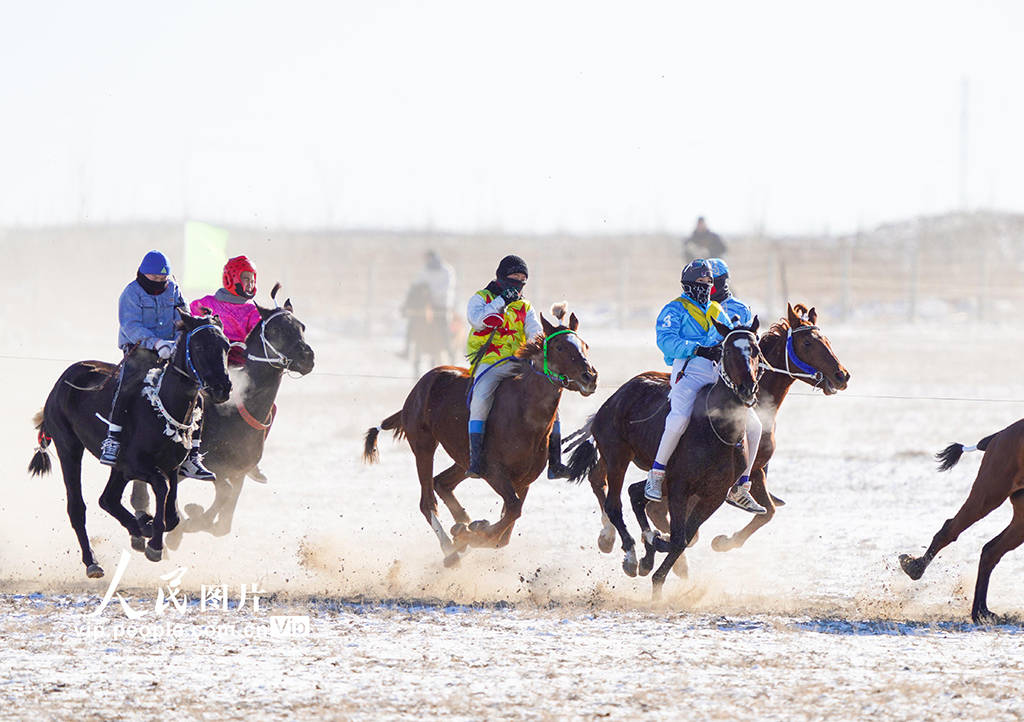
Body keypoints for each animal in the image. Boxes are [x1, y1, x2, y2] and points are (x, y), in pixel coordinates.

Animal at [29, 307, 231, 577]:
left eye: (226, 345)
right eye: (199, 346)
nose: (222, 388)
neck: (161, 405)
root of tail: (63, 381)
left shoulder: (169, 465)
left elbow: (173, 512)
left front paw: (148, 525)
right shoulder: (137, 466)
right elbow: (161, 488)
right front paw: (153, 542)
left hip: (116, 469)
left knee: (108, 499)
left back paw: (137, 527)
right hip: (68, 447)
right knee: (77, 507)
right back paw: (92, 561)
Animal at [135, 286, 315, 544]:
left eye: (302, 326)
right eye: (276, 329)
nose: (307, 356)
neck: (236, 414)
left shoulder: (237, 472)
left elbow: (225, 520)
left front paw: (196, 520)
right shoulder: (213, 466)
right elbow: (222, 494)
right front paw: (191, 518)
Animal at [364, 307, 598, 565]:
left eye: (585, 345)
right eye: (559, 347)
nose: (590, 376)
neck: (526, 416)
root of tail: (420, 386)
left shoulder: (524, 481)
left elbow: (505, 532)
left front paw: (470, 530)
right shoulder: (494, 472)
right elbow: (512, 511)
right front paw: (470, 533)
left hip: (464, 459)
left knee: (441, 482)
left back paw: (462, 523)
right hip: (424, 445)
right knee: (427, 501)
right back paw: (449, 548)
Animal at [565, 317, 765, 593]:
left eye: (755, 350)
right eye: (727, 352)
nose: (748, 388)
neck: (717, 430)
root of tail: (615, 397)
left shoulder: (713, 494)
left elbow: (685, 537)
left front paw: (655, 559)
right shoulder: (680, 487)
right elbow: (679, 538)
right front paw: (655, 556)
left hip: (659, 477)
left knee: (636, 492)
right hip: (617, 457)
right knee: (614, 504)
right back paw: (631, 556)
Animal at [901, 426, 1024, 622]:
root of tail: (999, 434)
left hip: (1019, 517)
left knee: (991, 551)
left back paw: (981, 612)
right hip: (988, 494)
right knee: (950, 530)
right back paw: (915, 567)